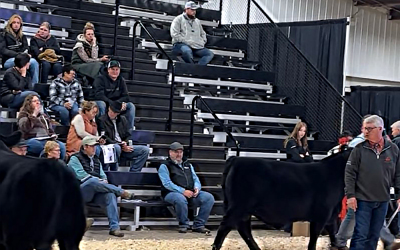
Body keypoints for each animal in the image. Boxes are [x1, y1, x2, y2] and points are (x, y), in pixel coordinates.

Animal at [211, 149, 352, 250]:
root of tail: (235, 159)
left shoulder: (332, 213)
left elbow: (333, 232)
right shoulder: (321, 214)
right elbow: (314, 239)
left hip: (244, 209)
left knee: (243, 228)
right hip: (239, 206)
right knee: (225, 227)